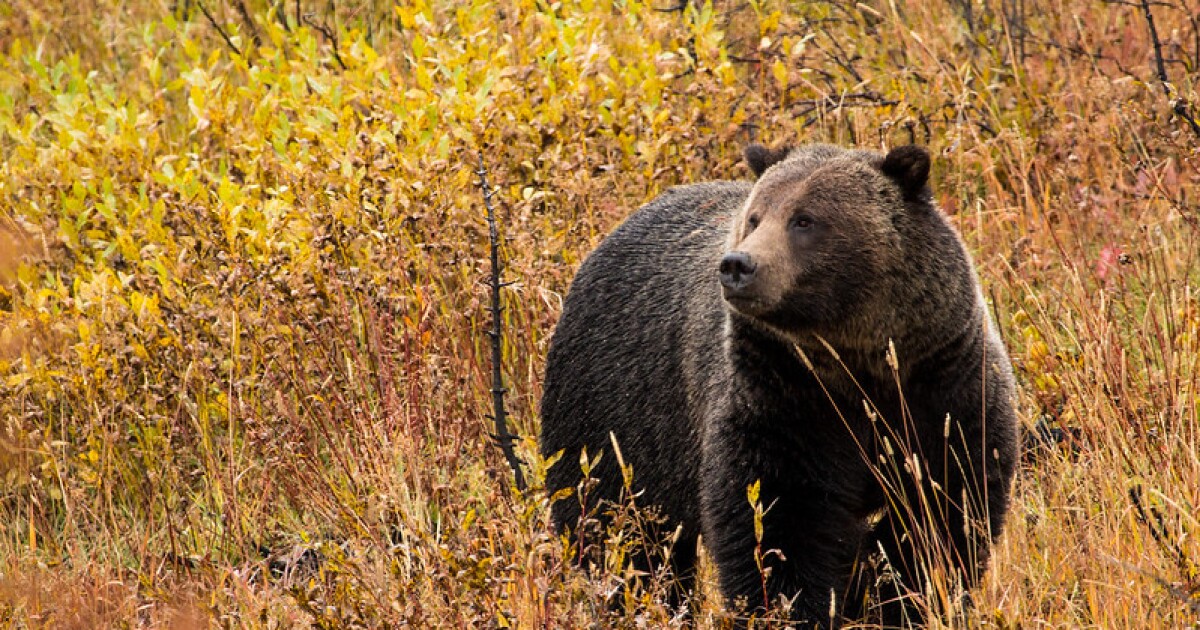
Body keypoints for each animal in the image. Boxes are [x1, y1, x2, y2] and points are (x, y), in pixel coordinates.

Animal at [540, 143, 1019, 627]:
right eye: (755, 217)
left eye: (804, 219)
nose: (737, 265)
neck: (858, 367)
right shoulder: (781, 398)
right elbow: (778, 522)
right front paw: (798, 607)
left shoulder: (943, 389)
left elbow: (943, 511)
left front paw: (893, 599)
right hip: (614, 412)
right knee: (620, 530)